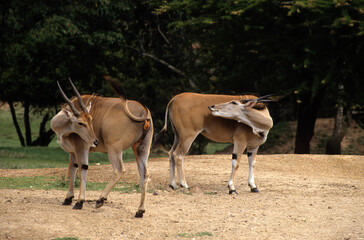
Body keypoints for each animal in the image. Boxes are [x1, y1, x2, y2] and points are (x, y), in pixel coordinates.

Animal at [50, 77, 153, 218]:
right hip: (141, 150)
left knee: (119, 170)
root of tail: (142, 111)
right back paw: (140, 211)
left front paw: (79, 202)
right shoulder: (72, 153)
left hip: (113, 149)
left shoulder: (81, 149)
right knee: (144, 175)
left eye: (90, 119)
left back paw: (100, 199)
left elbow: (83, 168)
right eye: (81, 122)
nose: (95, 141)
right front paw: (68, 198)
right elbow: (72, 170)